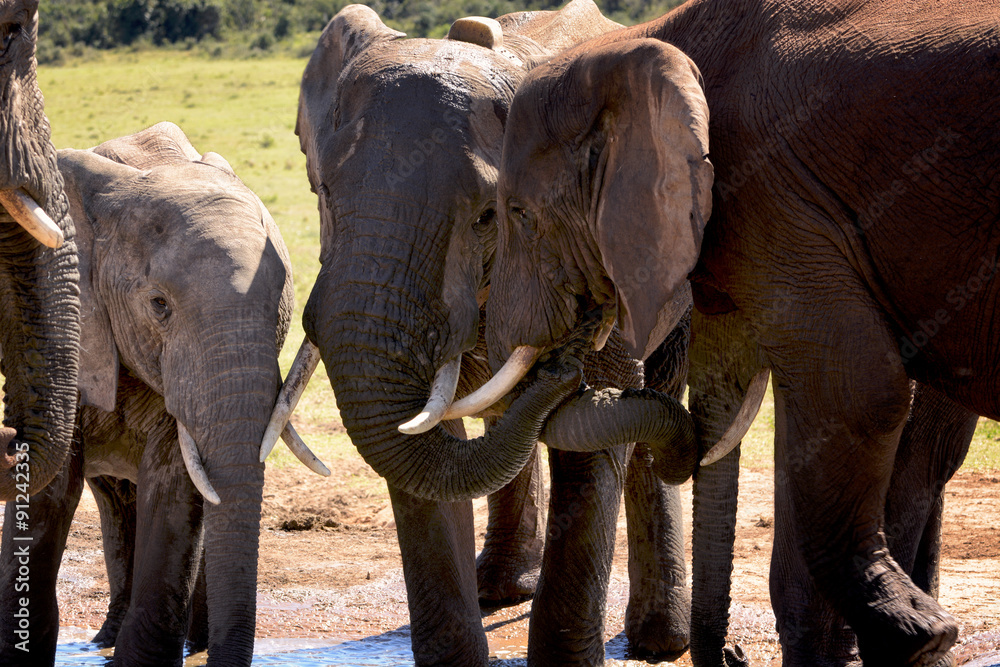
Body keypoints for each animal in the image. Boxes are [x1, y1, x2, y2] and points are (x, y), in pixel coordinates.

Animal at [0, 121, 320, 666]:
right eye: (158, 305)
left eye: (282, 306)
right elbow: (53, 487)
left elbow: (176, 485)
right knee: (112, 498)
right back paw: (104, 641)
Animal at [263, 2, 699, 664]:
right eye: (324, 193)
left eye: (488, 215)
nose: (563, 361)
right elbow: (421, 447)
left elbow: (594, 442)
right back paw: (503, 589)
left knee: (658, 405)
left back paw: (657, 640)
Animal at [482, 1, 999, 666]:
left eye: (517, 213)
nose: (734, 655)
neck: (644, 44)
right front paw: (911, 635)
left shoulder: (778, 197)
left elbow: (860, 390)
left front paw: (919, 635)